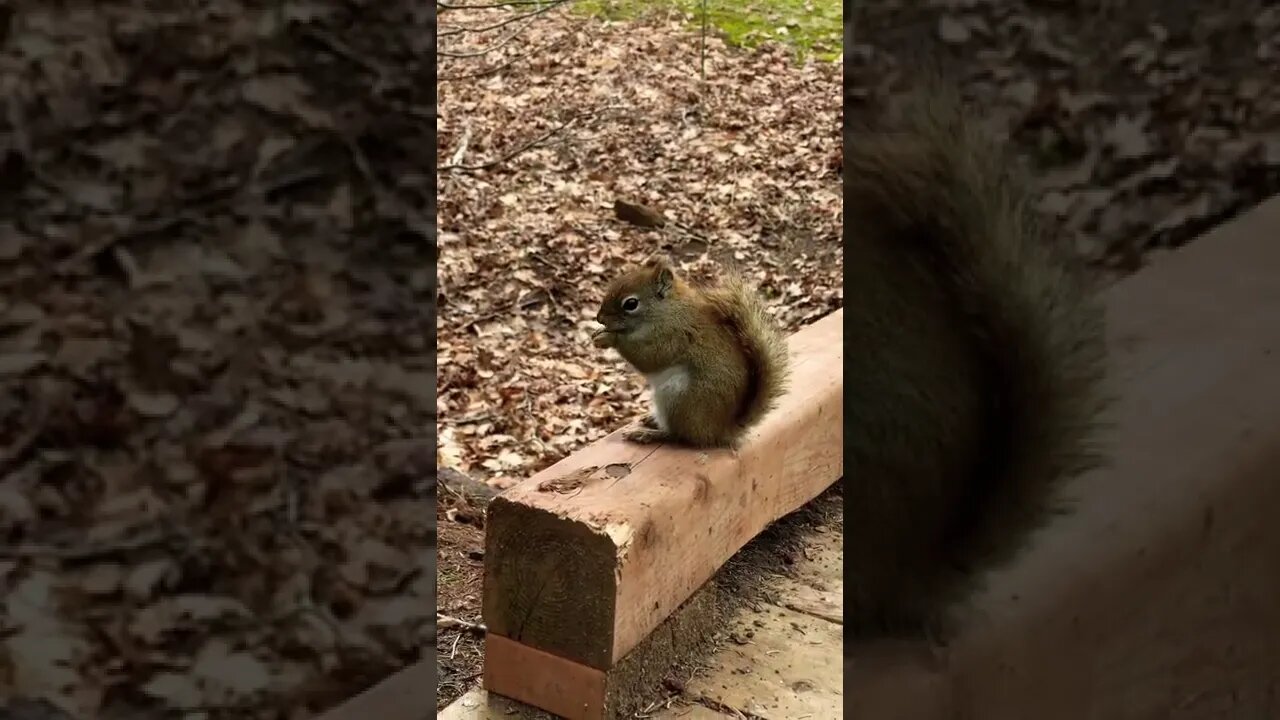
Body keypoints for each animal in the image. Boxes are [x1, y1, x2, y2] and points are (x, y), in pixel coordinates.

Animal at [590, 257, 790, 449]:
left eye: (631, 303)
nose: (599, 318)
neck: (667, 311)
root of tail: (718, 431)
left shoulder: (674, 337)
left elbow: (649, 357)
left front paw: (609, 338)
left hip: (679, 398)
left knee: (679, 437)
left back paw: (647, 434)